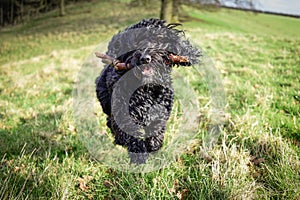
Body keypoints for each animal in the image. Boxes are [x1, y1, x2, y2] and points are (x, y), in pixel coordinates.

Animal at [95, 18, 200, 163]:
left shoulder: (161, 111)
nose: (145, 58)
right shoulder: (125, 113)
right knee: (110, 122)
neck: (147, 88)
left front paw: (153, 145)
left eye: (157, 40)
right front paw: (139, 154)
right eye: (135, 43)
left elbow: (156, 129)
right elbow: (130, 135)